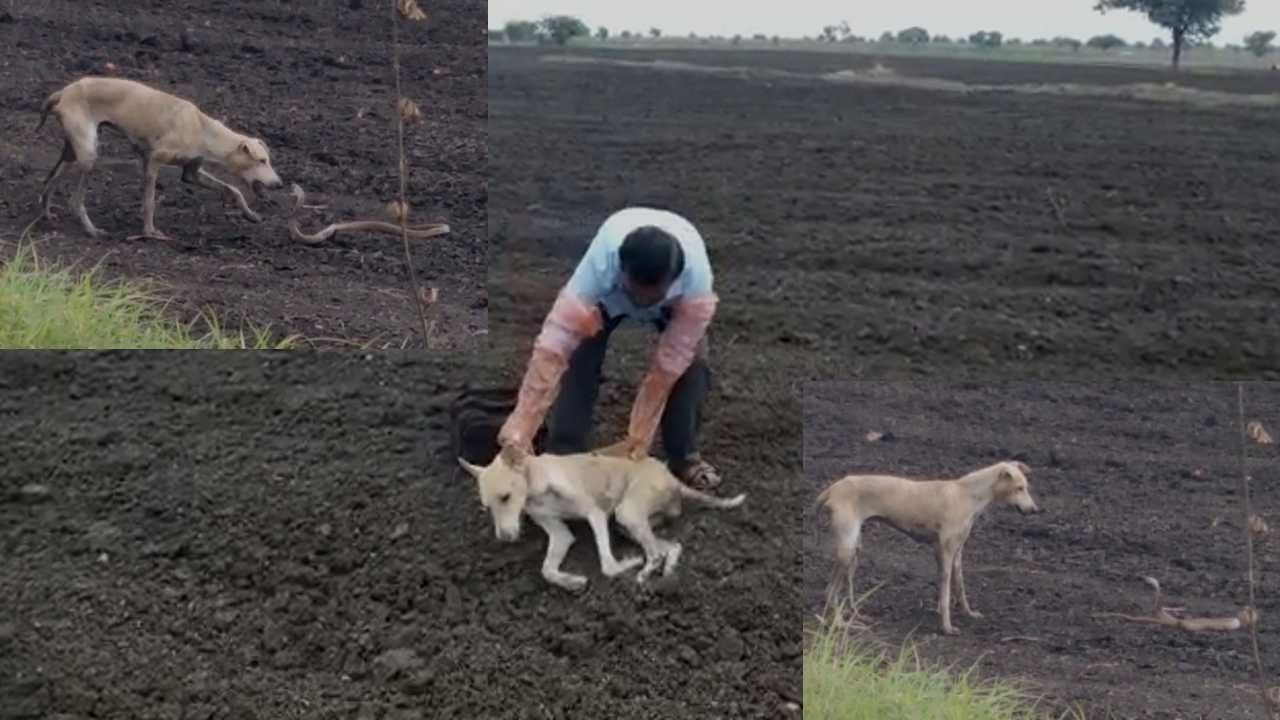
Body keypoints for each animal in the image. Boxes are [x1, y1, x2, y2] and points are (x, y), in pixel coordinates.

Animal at [34, 75, 282, 238]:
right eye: (262, 160)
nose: (279, 184)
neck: (203, 129)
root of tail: (64, 92)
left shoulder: (192, 172)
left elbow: (233, 189)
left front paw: (251, 215)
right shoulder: (153, 160)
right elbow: (149, 202)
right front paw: (149, 232)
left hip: (73, 151)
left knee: (49, 180)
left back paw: (46, 213)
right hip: (88, 155)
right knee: (75, 200)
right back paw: (91, 229)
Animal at [458, 445, 747, 591]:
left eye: (506, 497)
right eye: (486, 507)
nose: (505, 538)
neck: (535, 479)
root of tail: (672, 478)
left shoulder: (594, 513)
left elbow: (608, 566)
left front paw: (626, 563)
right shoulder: (561, 535)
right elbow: (547, 570)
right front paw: (571, 582)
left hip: (626, 513)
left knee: (653, 553)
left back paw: (643, 572)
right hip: (627, 524)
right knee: (671, 546)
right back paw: (667, 571)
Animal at [819, 461, 1039, 630]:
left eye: (1026, 486)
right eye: (1020, 488)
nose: (1034, 510)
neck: (966, 494)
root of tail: (834, 487)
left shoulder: (956, 553)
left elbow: (959, 586)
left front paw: (968, 613)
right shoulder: (946, 550)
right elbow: (945, 591)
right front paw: (946, 626)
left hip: (854, 551)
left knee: (845, 587)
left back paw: (856, 615)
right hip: (846, 551)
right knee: (830, 591)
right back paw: (839, 624)